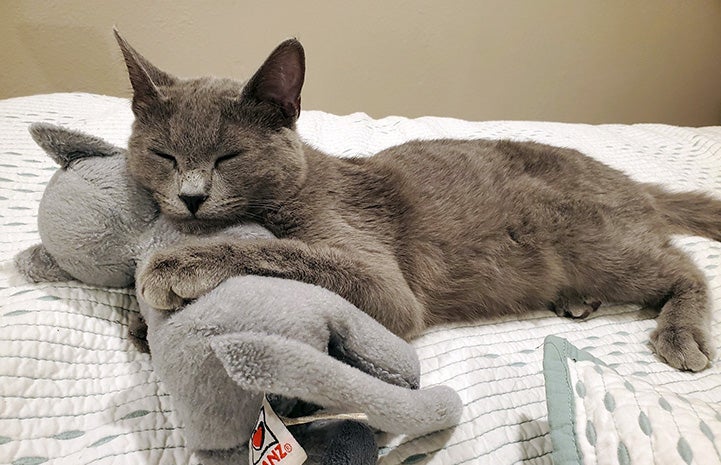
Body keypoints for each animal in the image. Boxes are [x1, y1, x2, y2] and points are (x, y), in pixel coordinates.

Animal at [115, 29, 716, 370]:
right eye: (164, 155)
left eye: (229, 157)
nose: (192, 197)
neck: (302, 183)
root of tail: (633, 182)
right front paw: (142, 325)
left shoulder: (384, 282)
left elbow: (280, 252)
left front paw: (176, 266)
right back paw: (577, 300)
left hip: (593, 239)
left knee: (684, 267)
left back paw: (682, 334)